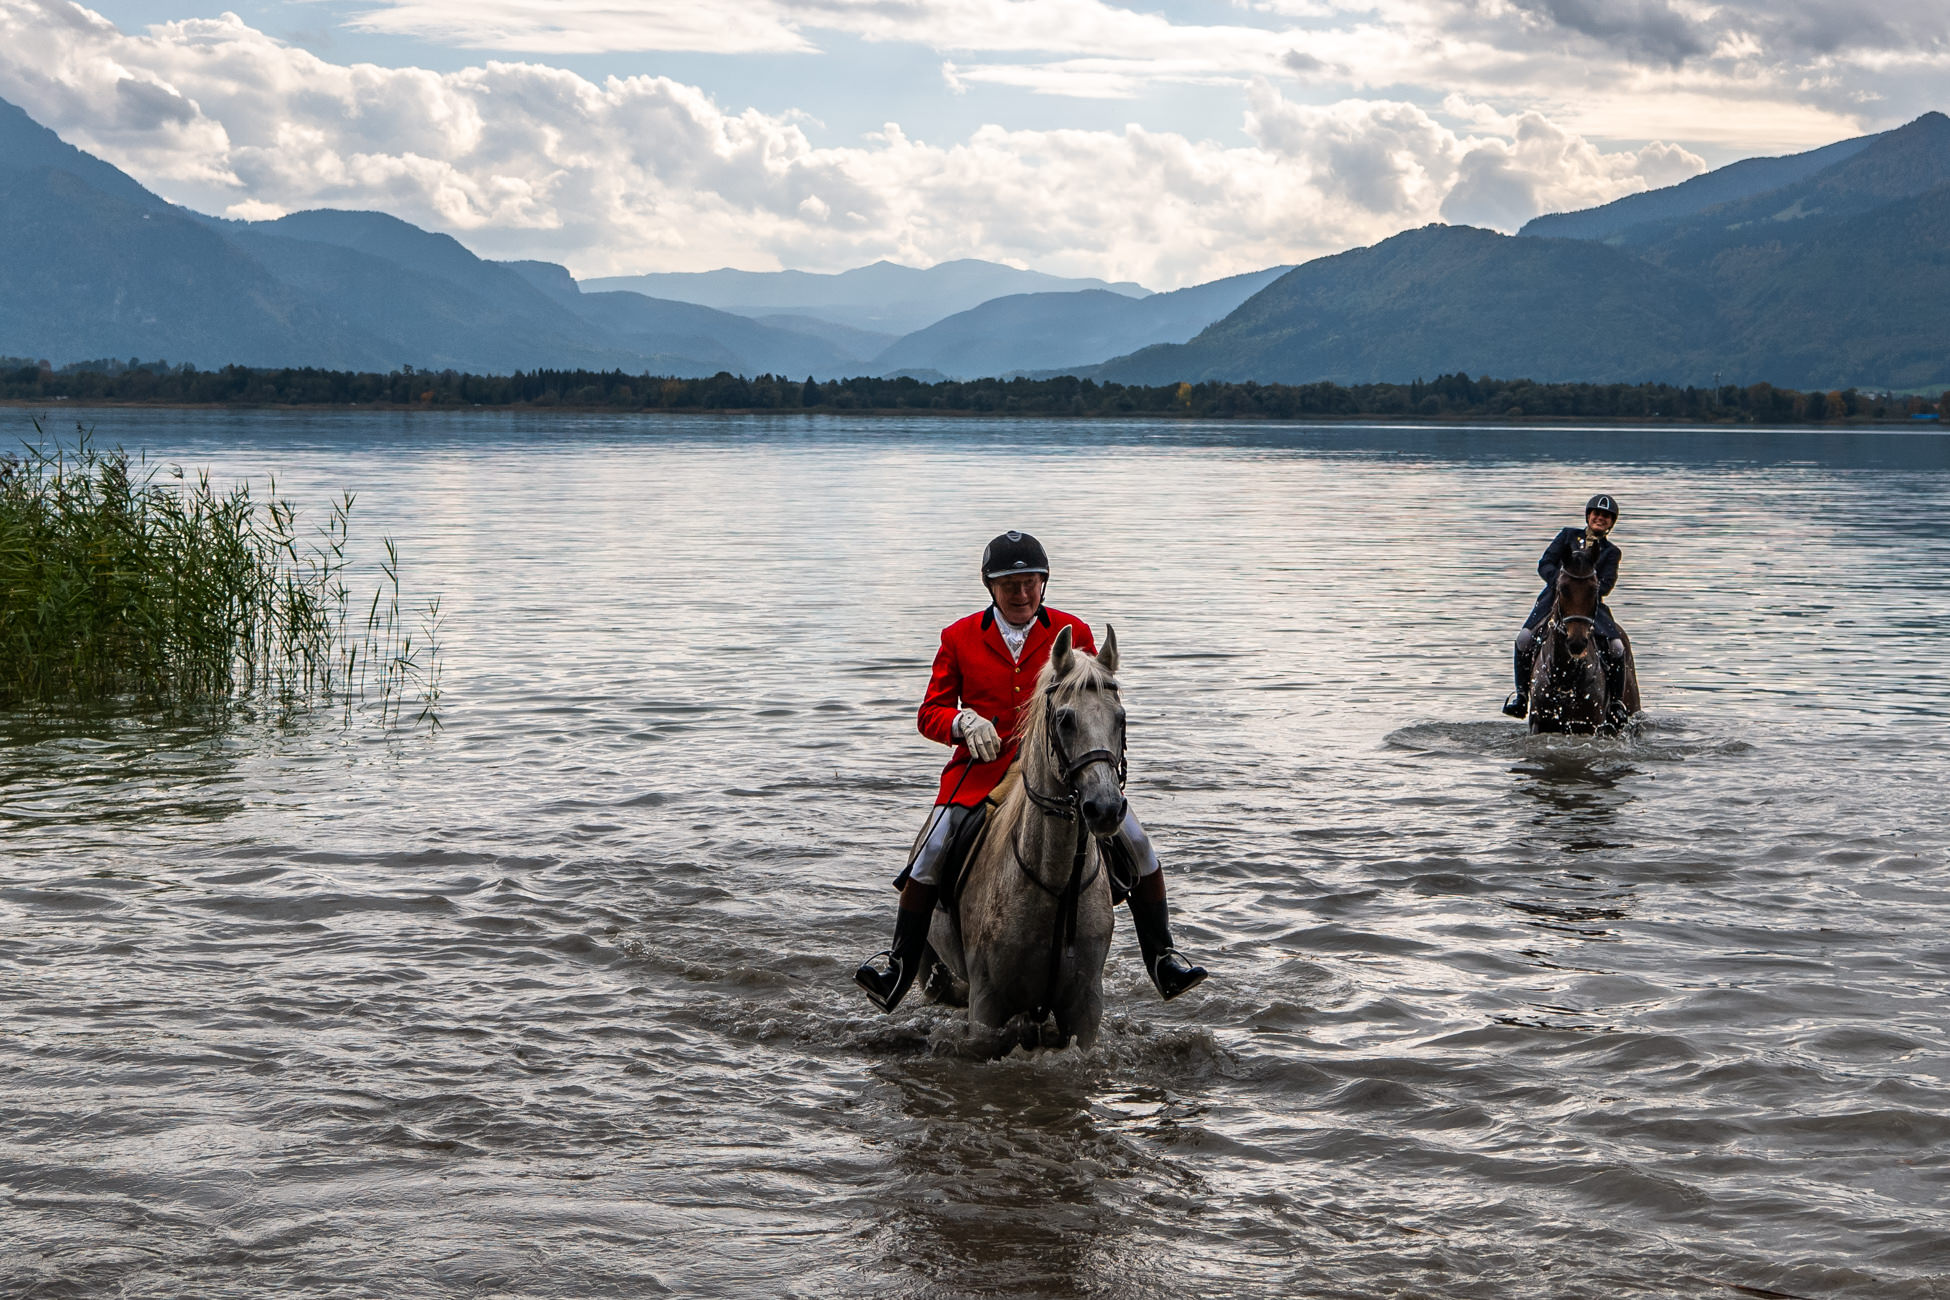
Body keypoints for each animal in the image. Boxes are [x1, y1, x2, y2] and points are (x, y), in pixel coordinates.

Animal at [926, 624, 1122, 1055]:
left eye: (1120, 718)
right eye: (1064, 720)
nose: (1105, 808)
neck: (1056, 882)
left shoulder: (1086, 1008)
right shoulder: (986, 1007)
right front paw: (976, 728)